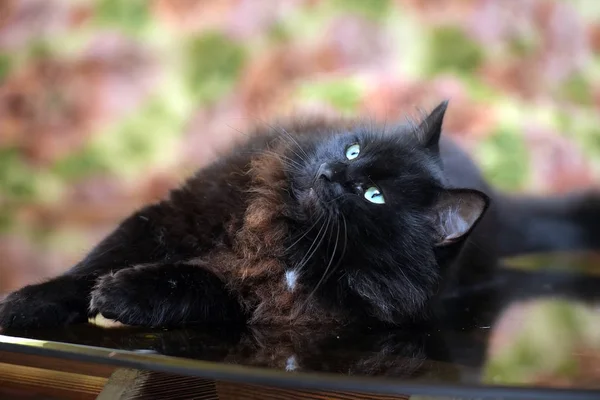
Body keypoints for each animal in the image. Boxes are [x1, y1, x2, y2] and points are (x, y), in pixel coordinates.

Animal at [1, 101, 600, 330]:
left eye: (374, 196)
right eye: (354, 150)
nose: (332, 173)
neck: (282, 233)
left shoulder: (274, 303)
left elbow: (196, 284)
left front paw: (124, 294)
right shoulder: (177, 214)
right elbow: (88, 266)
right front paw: (27, 303)